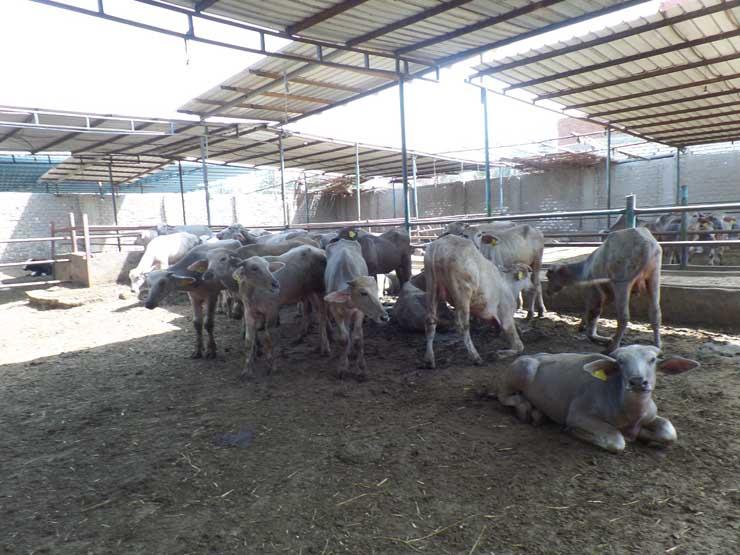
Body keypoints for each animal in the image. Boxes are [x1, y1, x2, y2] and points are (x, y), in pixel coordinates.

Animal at [231, 246, 329, 379]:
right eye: (254, 268)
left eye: (268, 267)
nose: (275, 284)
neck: (253, 294)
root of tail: (319, 250)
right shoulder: (249, 312)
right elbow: (248, 341)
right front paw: (247, 370)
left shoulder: (272, 310)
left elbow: (268, 339)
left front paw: (271, 366)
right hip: (308, 291)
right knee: (314, 312)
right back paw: (315, 344)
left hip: (319, 288)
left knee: (323, 315)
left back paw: (325, 347)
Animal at [324, 239, 390, 378]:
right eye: (363, 293)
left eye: (376, 291)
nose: (384, 317)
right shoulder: (335, 311)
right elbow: (343, 339)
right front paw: (343, 367)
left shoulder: (359, 312)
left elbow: (358, 339)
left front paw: (361, 368)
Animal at [423, 235, 529, 369]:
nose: (532, 286)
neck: (508, 283)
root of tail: (439, 247)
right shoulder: (506, 316)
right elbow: (518, 345)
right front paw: (497, 354)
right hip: (462, 293)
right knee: (462, 325)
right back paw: (475, 357)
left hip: (431, 287)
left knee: (430, 321)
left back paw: (429, 360)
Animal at [495, 345, 699, 453]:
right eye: (621, 362)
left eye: (653, 359)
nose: (637, 381)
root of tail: (535, 355)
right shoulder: (578, 415)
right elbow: (616, 441)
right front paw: (574, 431)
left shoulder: (650, 415)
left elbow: (669, 432)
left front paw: (645, 436)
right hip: (523, 370)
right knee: (503, 396)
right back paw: (524, 408)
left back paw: (538, 414)